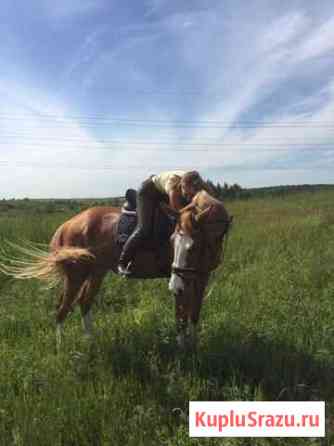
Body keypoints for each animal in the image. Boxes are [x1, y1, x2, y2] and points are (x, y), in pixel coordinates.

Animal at [0, 190, 231, 350]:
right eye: (172, 241)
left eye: (193, 246)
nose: (173, 285)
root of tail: (66, 226)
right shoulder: (183, 281)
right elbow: (181, 316)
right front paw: (183, 349)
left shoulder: (200, 278)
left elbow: (194, 314)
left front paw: (194, 346)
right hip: (76, 276)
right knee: (62, 309)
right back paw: (61, 349)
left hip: (96, 273)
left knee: (84, 303)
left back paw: (90, 341)